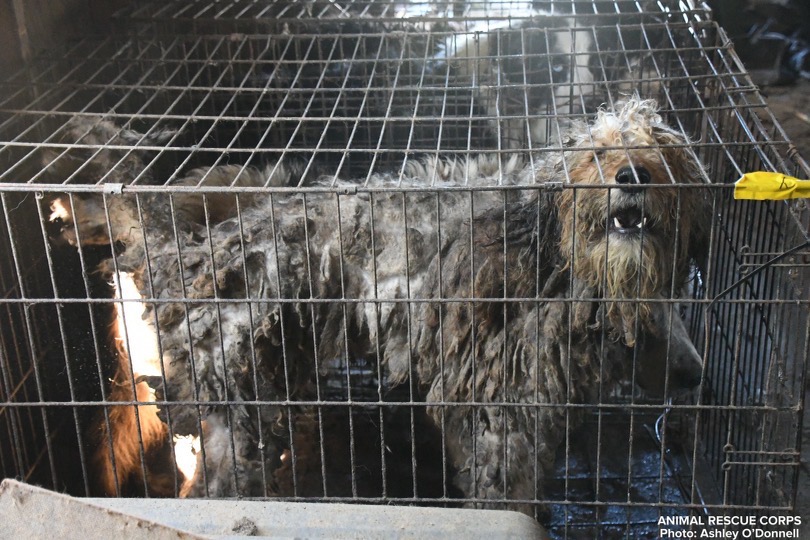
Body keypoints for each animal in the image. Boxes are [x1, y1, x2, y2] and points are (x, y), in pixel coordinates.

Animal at [49, 96, 708, 516]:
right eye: (598, 152)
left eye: (662, 154)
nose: (632, 174)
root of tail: (183, 242)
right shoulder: (501, 396)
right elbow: (504, 485)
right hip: (232, 378)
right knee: (217, 472)